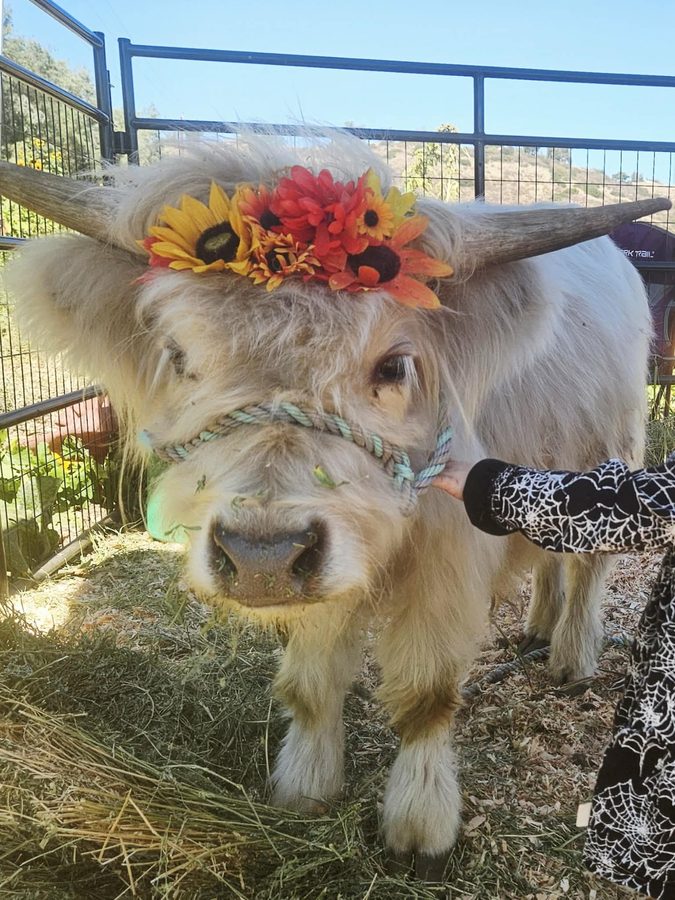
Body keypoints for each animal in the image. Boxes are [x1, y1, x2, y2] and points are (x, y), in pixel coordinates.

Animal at [1, 134, 669, 880]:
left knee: (587, 561)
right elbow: (312, 685)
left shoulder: (445, 565)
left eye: (392, 366)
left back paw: (572, 654)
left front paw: (419, 825)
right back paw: (538, 626)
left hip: (610, 451)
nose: (260, 555)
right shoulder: (314, 578)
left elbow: (426, 695)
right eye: (178, 355)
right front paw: (304, 786)